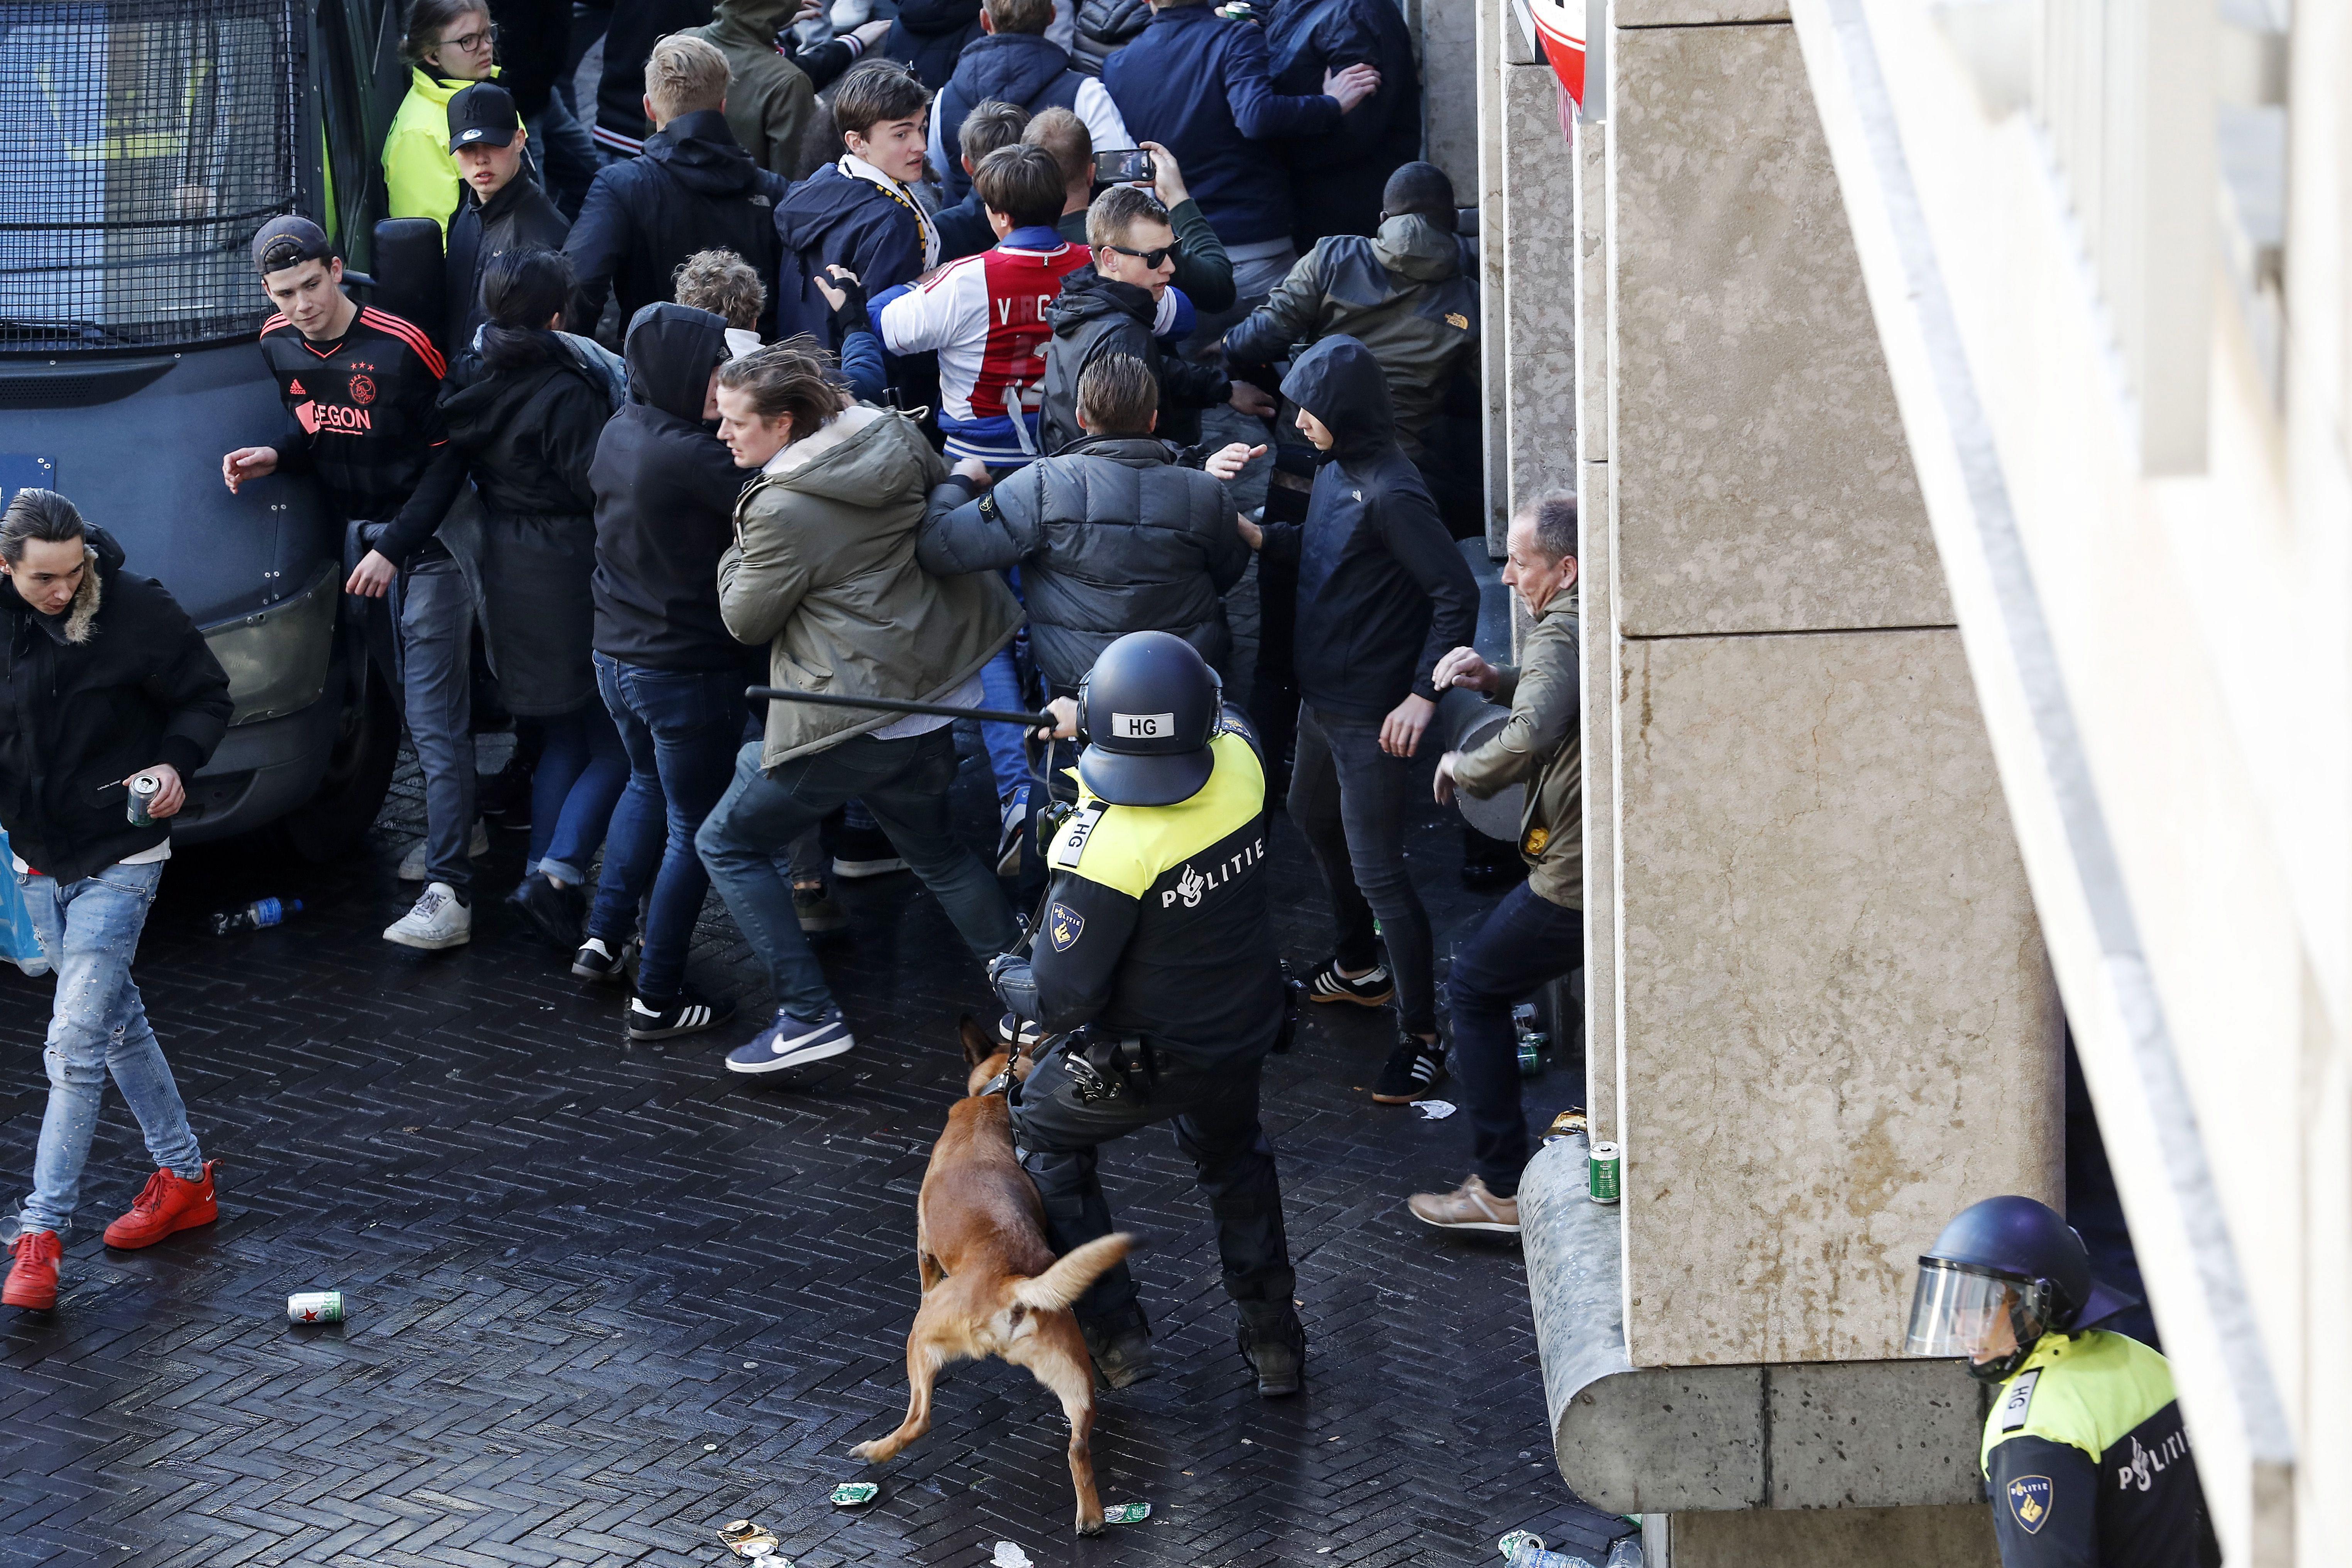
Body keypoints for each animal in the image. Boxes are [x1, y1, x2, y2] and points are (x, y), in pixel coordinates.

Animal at [851, 1011, 1133, 1542]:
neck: (996, 1097)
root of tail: (1012, 1284)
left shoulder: (923, 1246)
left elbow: (923, 1277)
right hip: (1074, 1380)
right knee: (1078, 1448)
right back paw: (1091, 1518)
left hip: (921, 1337)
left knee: (919, 1418)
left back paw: (876, 1450)